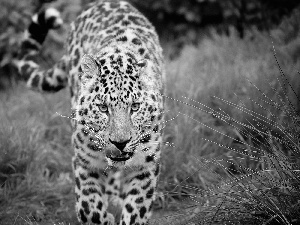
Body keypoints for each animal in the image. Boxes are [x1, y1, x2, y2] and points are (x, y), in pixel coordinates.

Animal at [13, 0, 164, 224]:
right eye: (103, 108)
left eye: (135, 107)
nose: (120, 143)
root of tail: (101, 2)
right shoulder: (85, 162)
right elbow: (89, 207)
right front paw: (105, 217)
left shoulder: (145, 165)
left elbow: (136, 209)